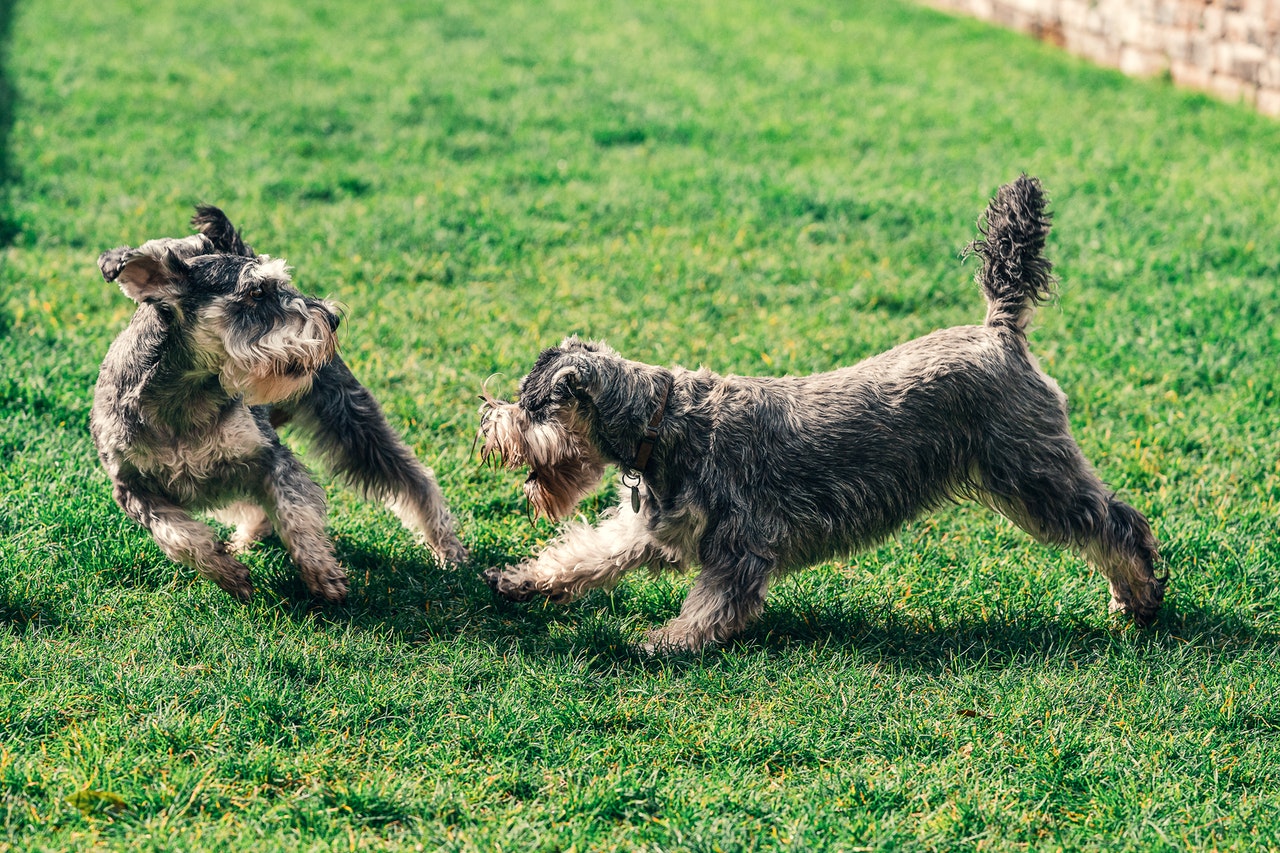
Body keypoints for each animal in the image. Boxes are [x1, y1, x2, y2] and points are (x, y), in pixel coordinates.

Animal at [91, 206, 471, 601]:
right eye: (257, 291)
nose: (332, 318)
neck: (183, 399)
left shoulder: (269, 457)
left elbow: (295, 512)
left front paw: (321, 573)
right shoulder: (133, 488)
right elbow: (178, 537)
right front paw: (229, 573)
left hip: (351, 419)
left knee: (415, 479)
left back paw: (448, 548)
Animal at [481, 175, 1172, 648]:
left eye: (531, 404)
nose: (488, 418)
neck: (660, 423)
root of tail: (999, 331)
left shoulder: (739, 545)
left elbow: (713, 605)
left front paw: (666, 642)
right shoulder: (648, 529)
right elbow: (585, 554)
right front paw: (521, 581)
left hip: (1034, 475)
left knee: (1117, 526)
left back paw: (1138, 599)